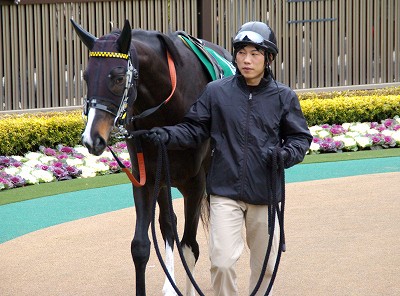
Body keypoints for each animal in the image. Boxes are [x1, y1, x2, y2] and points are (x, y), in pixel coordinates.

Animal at [72, 19, 233, 294]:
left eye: (117, 78)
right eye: (86, 76)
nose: (91, 138)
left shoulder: (196, 182)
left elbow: (190, 247)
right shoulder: (145, 178)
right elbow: (141, 246)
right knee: (168, 223)